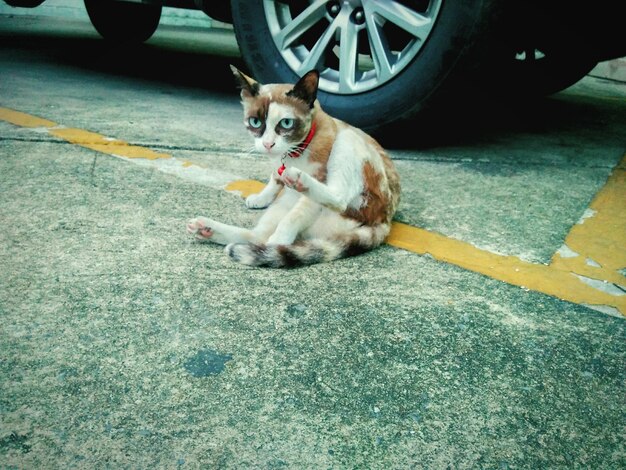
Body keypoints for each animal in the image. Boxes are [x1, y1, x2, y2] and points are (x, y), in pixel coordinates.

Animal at [185, 65, 400, 268]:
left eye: (286, 123)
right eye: (255, 121)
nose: (268, 144)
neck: (296, 151)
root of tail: (384, 219)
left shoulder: (318, 180)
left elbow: (295, 216)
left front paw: (280, 238)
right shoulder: (277, 164)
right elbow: (274, 177)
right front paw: (262, 196)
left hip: (348, 142)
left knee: (339, 198)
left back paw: (299, 182)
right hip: (283, 205)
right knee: (256, 237)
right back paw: (208, 229)